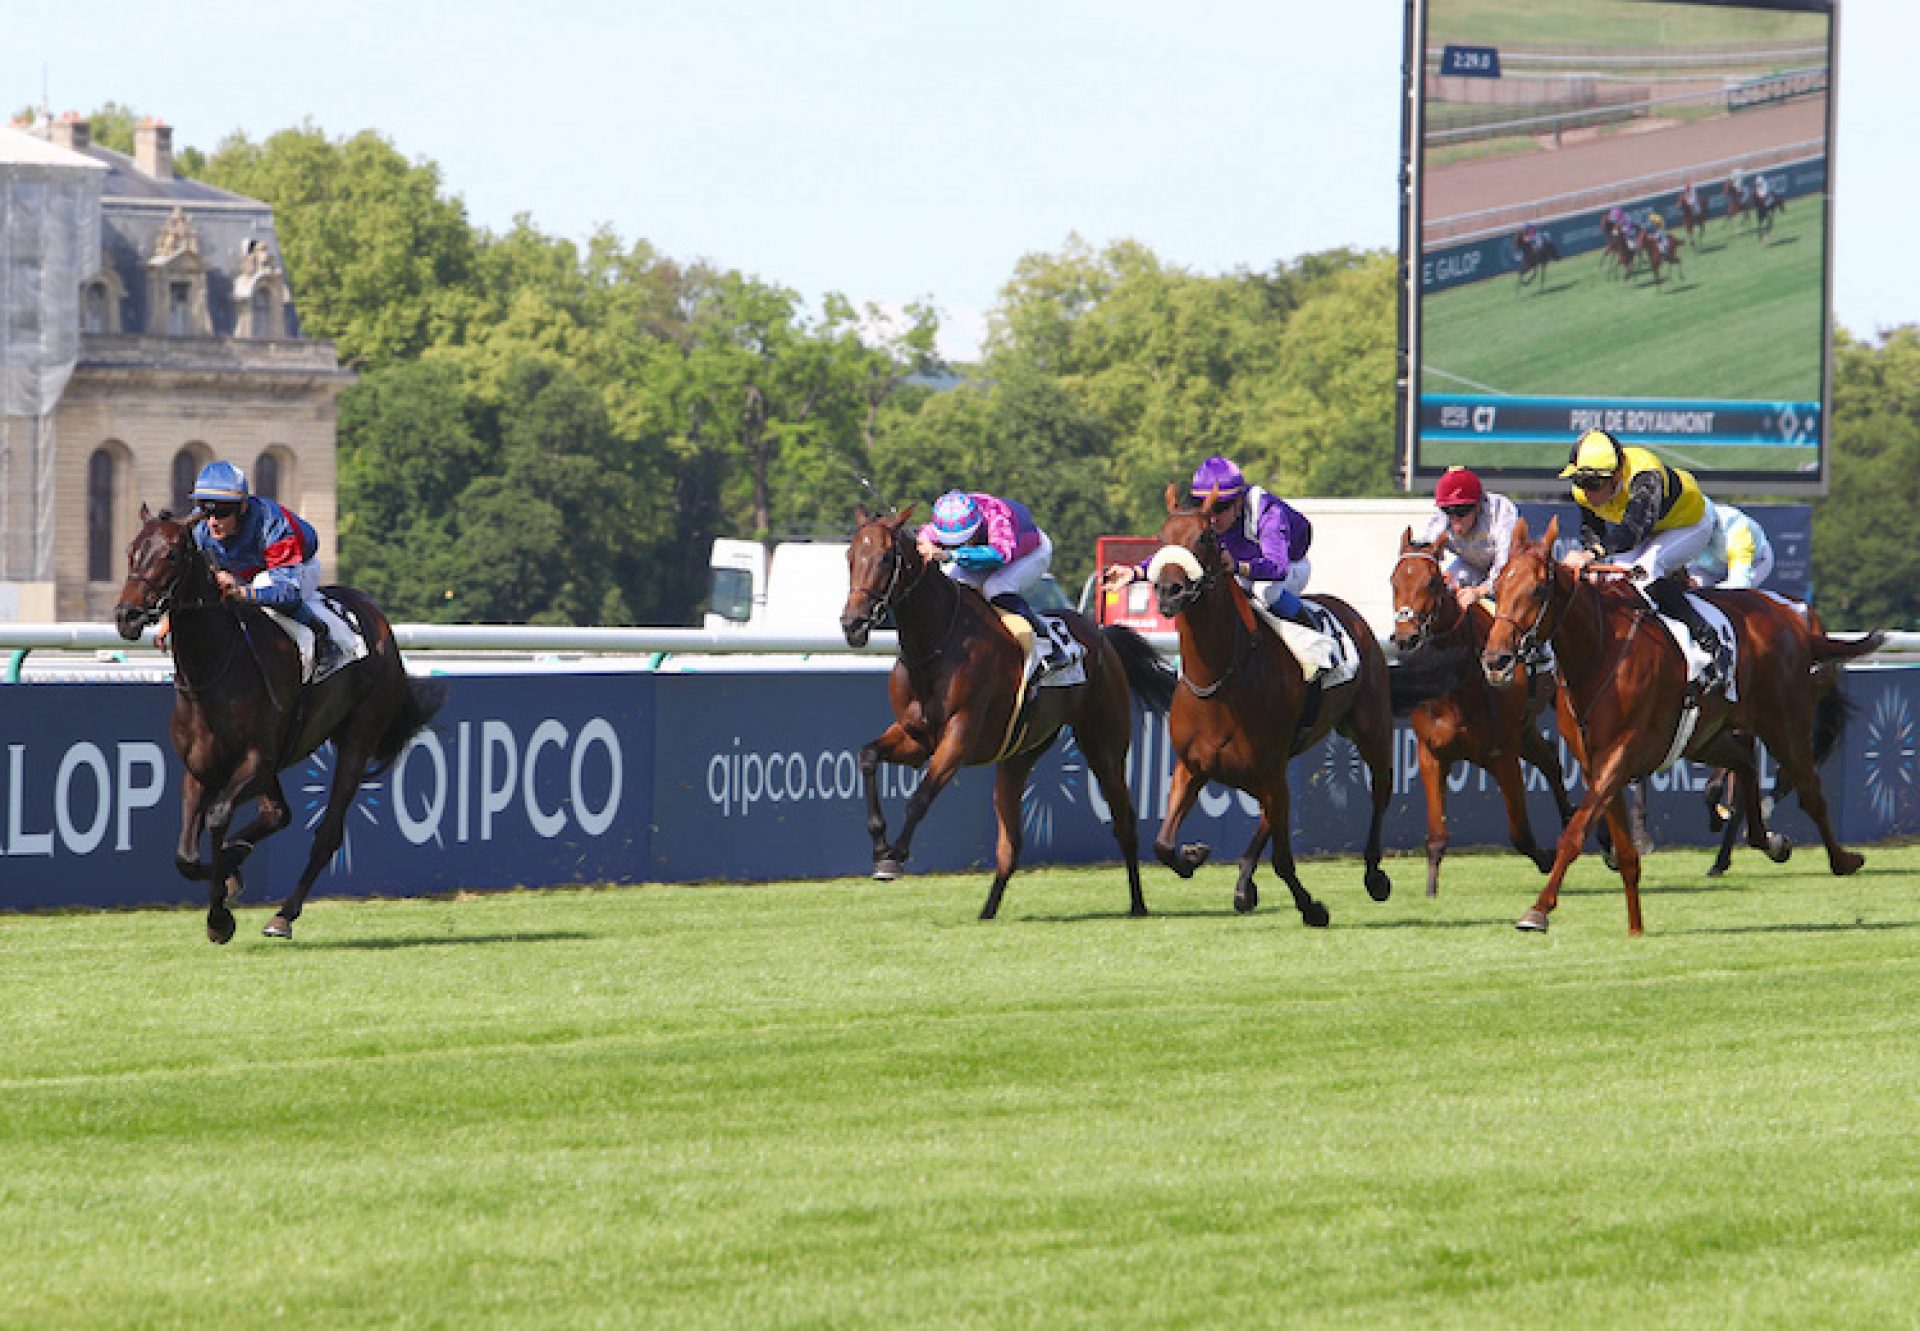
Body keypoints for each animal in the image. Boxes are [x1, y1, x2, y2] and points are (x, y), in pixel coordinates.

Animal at [113, 503, 445, 941]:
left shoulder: (256, 759)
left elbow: (217, 819)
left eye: (170, 554)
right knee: (278, 814)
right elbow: (186, 856)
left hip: (357, 738)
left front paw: (220, 915)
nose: (127, 615)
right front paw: (229, 875)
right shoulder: (200, 768)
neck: (213, 670)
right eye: (131, 552)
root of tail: (377, 617)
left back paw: (283, 914)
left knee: (327, 833)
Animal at [844, 503, 1175, 918]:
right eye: (849, 556)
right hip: (1020, 754)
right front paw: (878, 846)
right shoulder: (915, 736)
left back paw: (1138, 903)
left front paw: (894, 857)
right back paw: (988, 910)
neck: (937, 643)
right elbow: (867, 757)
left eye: (887, 558)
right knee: (1011, 842)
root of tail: (1101, 634)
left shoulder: (960, 736)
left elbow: (920, 797)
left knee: (1123, 819)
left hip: (1104, 745)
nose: (852, 623)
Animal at [1128, 485, 1420, 925]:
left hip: (1371, 726)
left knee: (1381, 788)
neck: (1221, 680)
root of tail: (1355, 616)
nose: (1168, 591)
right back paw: (1244, 884)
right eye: (1161, 539)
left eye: (1205, 538)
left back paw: (1374, 874)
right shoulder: (1194, 766)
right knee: (1270, 817)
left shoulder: (1268, 771)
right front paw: (1194, 855)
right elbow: (1162, 845)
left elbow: (1283, 859)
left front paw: (1313, 908)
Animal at [1390, 530, 1582, 891]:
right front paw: (1431, 891)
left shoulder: (1501, 755)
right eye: (1393, 580)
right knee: (1550, 759)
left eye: (1432, 582)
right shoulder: (1431, 754)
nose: (1405, 637)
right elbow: (1436, 836)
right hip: (1524, 729)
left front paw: (1548, 858)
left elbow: (1520, 834)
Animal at [1474, 514, 1881, 929]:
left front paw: (1538, 910)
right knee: (1745, 764)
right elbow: (1617, 845)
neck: (1600, 651)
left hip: (1785, 722)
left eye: (1538, 590)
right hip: (1705, 737)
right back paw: (1768, 841)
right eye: (1497, 584)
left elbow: (1575, 832)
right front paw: (1631, 921)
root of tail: (1797, 622)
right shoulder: (1594, 762)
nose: (1496, 660)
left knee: (1808, 788)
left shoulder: (1621, 753)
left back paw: (1844, 859)